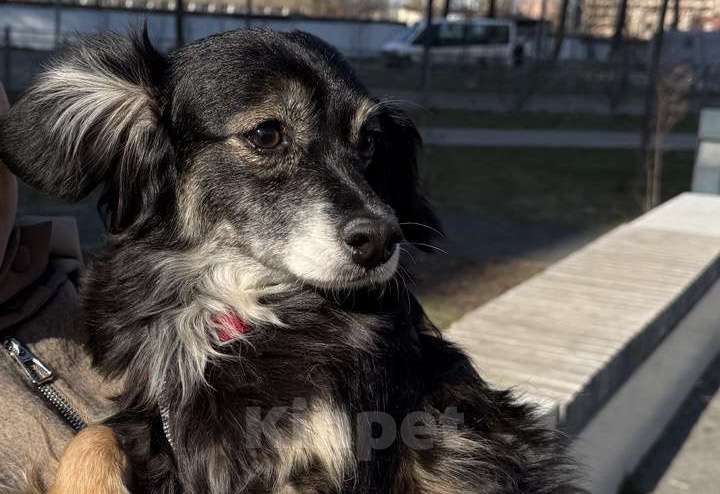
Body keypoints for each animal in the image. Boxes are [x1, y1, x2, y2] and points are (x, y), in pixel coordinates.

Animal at [0, 29, 580, 493]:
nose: (382, 240)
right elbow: (94, 435)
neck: (238, 310)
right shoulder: (158, 420)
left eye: (368, 142)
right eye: (266, 133)